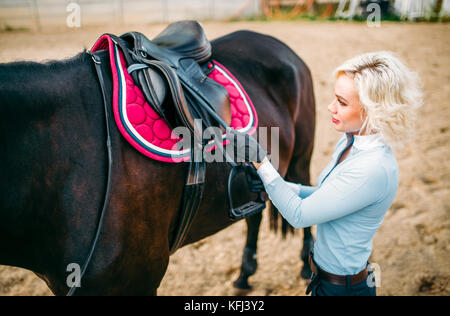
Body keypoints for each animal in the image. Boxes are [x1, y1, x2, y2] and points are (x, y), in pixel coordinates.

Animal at [0, 28, 314, 296]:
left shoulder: (140, 277)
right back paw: (245, 275)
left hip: (302, 158)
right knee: (255, 214)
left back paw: (307, 268)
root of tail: (276, 43)